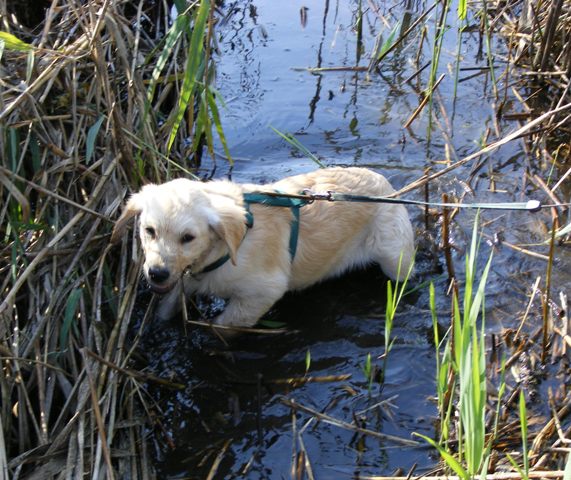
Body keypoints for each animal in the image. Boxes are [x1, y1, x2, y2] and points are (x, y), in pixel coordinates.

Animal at [111, 168, 416, 330]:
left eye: (188, 237)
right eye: (149, 231)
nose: (157, 273)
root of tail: (385, 185)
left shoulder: (262, 292)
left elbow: (222, 326)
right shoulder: (186, 280)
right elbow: (167, 307)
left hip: (395, 259)